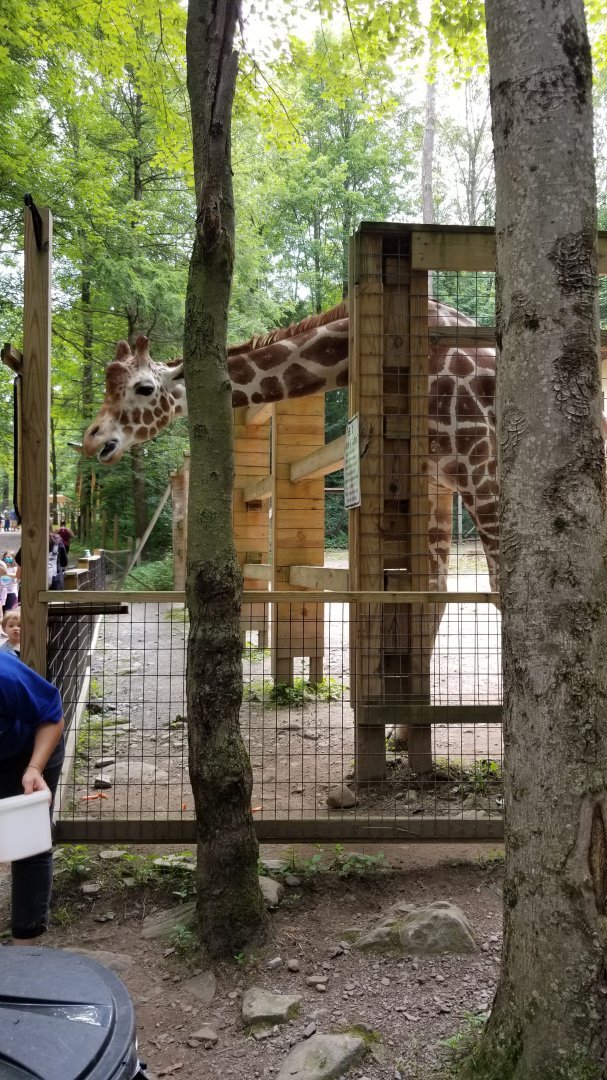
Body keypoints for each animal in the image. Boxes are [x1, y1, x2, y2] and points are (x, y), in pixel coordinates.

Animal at [82, 300, 499, 593]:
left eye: (144, 388)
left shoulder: (479, 467)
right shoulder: (435, 484)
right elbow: (433, 593)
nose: (93, 439)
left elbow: (497, 585)